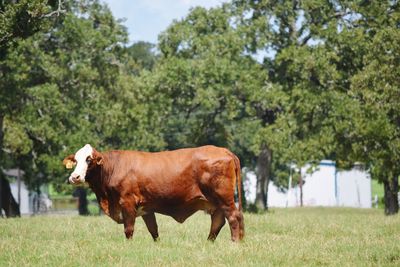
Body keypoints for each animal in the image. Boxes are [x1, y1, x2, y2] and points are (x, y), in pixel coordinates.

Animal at [62, 144, 244, 243]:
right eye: (75, 160)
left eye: (89, 159)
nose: (74, 177)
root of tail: (224, 151)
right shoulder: (146, 209)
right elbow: (153, 230)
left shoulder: (127, 203)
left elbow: (129, 229)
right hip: (216, 202)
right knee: (218, 222)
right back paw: (210, 242)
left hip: (224, 198)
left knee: (233, 217)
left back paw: (234, 242)